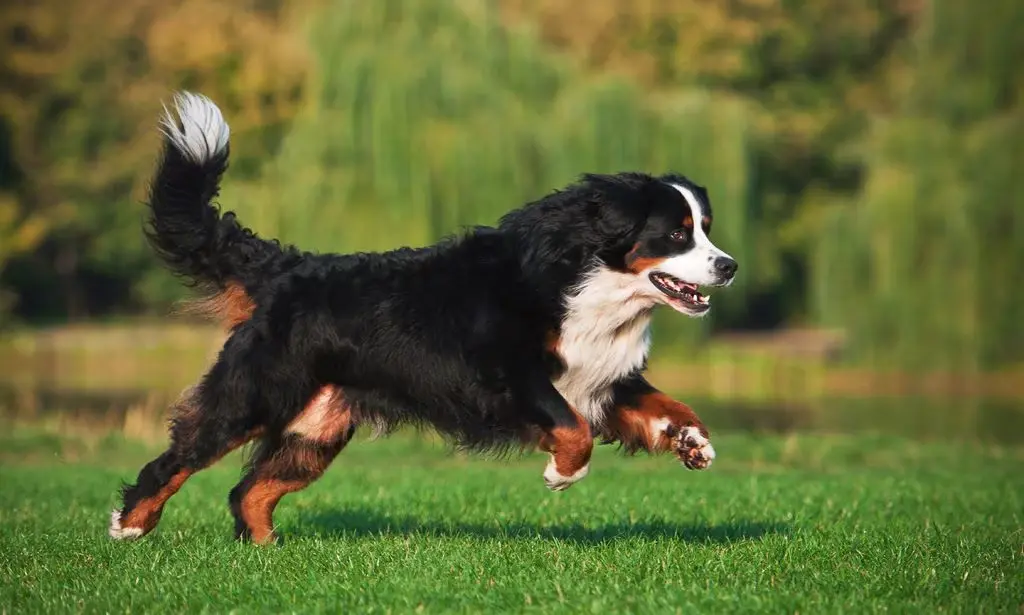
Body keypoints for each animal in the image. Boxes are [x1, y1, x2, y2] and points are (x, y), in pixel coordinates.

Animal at [110, 90, 737, 540]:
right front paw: (562, 473)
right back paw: (129, 526)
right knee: (178, 461)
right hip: (253, 397)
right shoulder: (506, 375)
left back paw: (267, 553)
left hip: (316, 431)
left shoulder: (602, 376)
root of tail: (287, 269)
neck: (592, 284)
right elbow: (570, 427)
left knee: (249, 493)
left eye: (706, 228)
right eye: (677, 234)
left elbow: (665, 405)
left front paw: (693, 442)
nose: (729, 266)